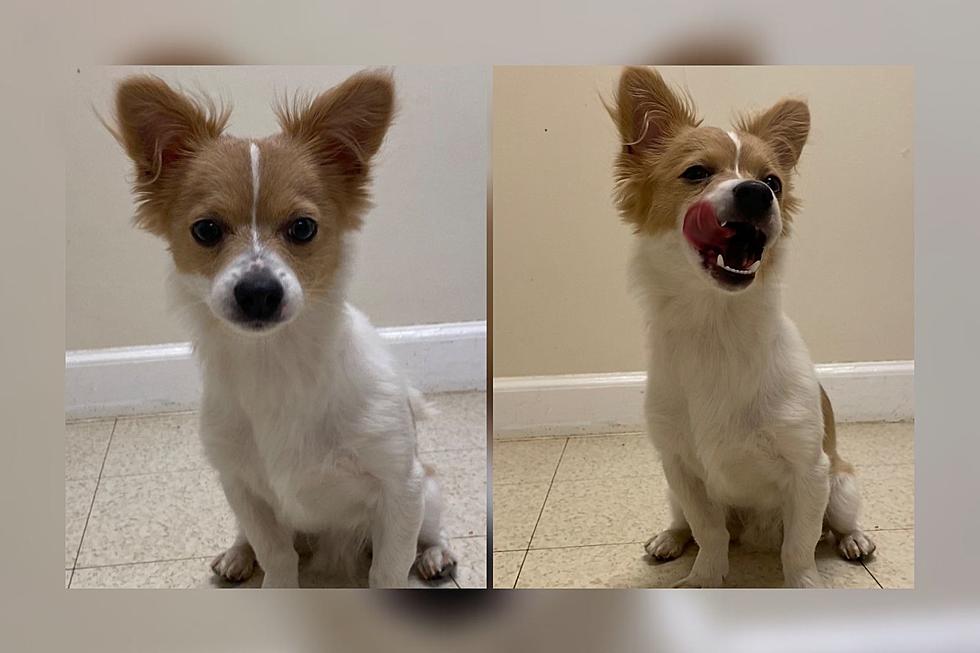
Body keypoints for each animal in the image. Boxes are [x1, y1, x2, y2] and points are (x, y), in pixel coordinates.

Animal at [608, 69, 876, 588]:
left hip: (841, 484)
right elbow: (710, 533)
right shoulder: (682, 470)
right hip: (671, 490)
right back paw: (668, 539)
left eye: (773, 180)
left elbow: (799, 546)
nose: (756, 192)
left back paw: (854, 539)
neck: (717, 326)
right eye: (696, 173)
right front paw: (704, 578)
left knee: (836, 524)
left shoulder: (809, 472)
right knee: (685, 523)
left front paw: (804, 584)